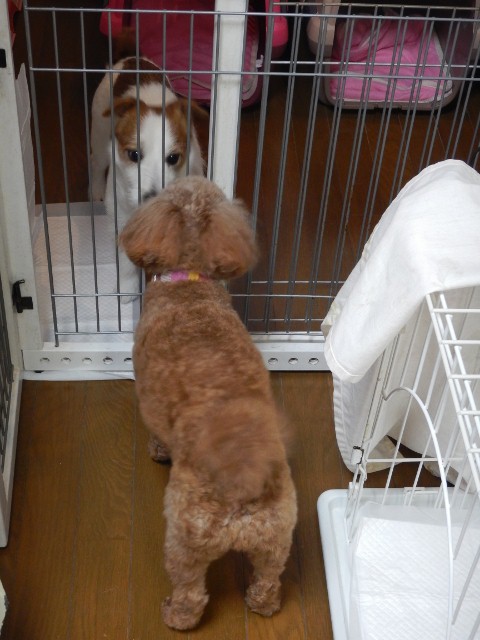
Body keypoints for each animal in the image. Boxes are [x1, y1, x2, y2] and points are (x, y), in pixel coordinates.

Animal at [90, 56, 205, 300]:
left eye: (173, 158)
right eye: (134, 155)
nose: (151, 196)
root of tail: (131, 58)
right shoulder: (122, 215)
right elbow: (125, 259)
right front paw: (127, 288)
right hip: (99, 132)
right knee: (97, 164)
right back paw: (95, 191)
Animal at [119, 176, 297, 631]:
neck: (191, 280)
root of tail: (241, 482)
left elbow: (155, 433)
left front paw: (157, 452)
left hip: (184, 538)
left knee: (190, 592)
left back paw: (173, 615)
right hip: (275, 538)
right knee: (268, 579)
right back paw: (263, 604)